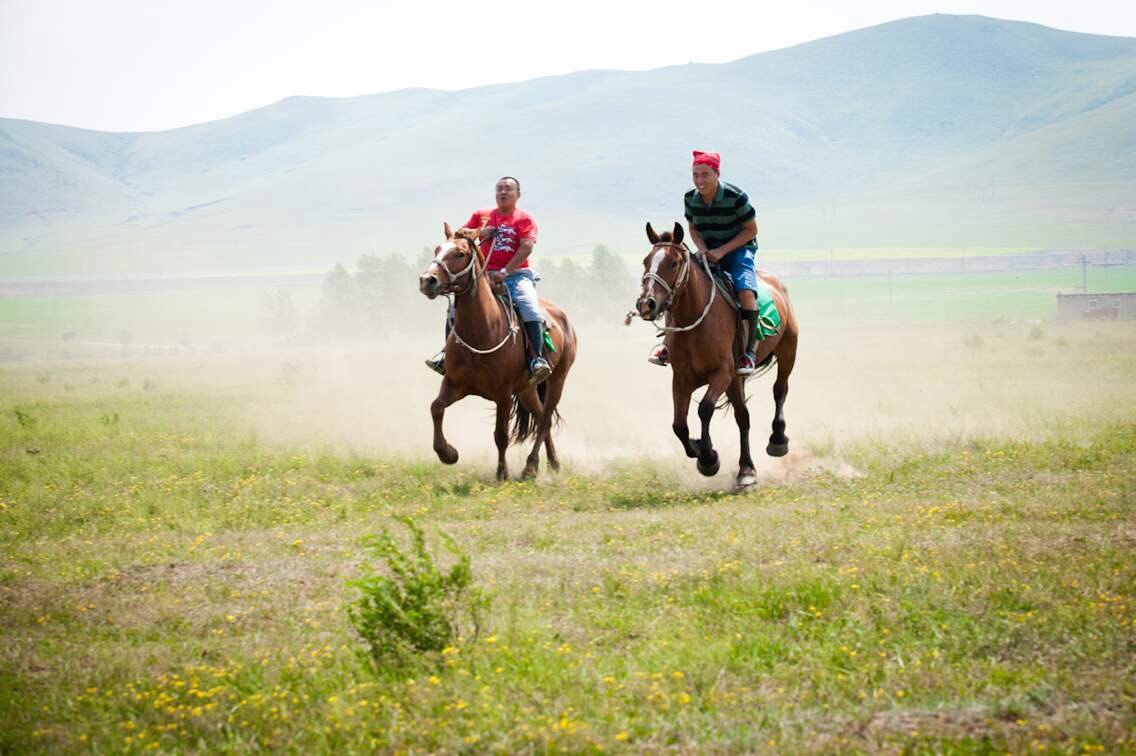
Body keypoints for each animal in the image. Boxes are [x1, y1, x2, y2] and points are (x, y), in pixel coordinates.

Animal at [418, 223, 577, 479]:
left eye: (460, 253)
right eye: (438, 249)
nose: (427, 281)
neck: (481, 330)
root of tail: (563, 317)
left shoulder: (503, 393)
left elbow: (500, 435)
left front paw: (501, 473)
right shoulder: (454, 384)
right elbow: (436, 408)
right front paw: (447, 453)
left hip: (557, 380)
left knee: (544, 420)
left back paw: (530, 466)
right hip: (527, 389)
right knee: (541, 418)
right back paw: (553, 464)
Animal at [631, 221, 799, 486]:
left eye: (673, 263)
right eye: (646, 261)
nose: (646, 304)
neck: (696, 321)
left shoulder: (722, 373)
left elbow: (705, 409)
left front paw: (709, 458)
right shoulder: (682, 379)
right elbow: (679, 425)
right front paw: (699, 448)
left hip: (787, 352)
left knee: (779, 390)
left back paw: (776, 441)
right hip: (737, 381)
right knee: (743, 416)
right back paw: (745, 469)